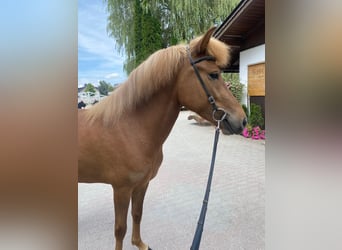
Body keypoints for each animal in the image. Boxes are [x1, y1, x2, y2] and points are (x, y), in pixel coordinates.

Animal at [78, 27, 246, 250]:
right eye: (213, 75)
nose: (243, 120)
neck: (130, 128)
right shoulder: (121, 189)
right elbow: (120, 229)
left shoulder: (142, 184)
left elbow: (137, 214)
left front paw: (139, 244)